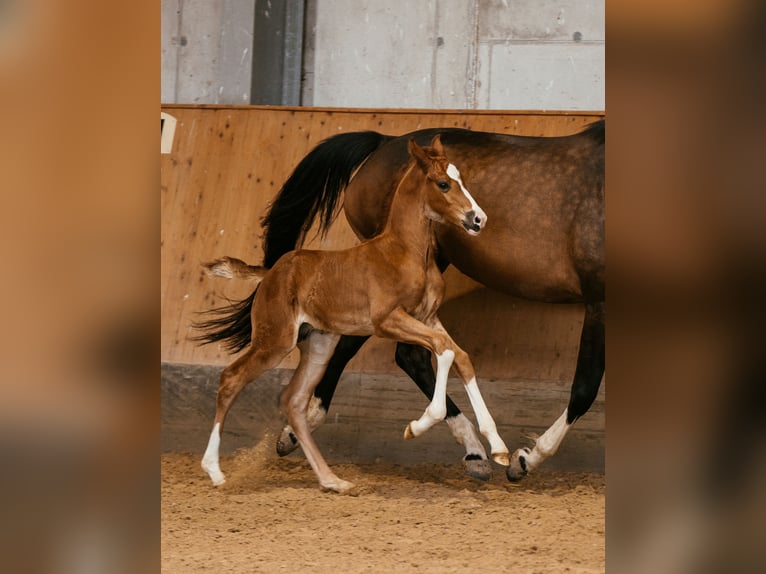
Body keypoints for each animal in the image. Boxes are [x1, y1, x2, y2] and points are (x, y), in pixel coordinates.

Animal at [198, 136, 510, 496]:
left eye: (462, 179)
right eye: (443, 183)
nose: (478, 219)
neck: (405, 252)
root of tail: (270, 272)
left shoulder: (428, 317)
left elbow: (460, 356)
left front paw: (499, 448)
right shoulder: (387, 320)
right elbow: (443, 351)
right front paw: (416, 427)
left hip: (319, 343)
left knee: (294, 400)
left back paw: (332, 480)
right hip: (274, 340)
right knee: (231, 379)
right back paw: (215, 471)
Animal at [260, 121, 608, 486]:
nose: (478, 218)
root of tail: (384, 143)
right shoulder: (599, 300)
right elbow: (585, 387)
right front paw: (525, 459)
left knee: (374, 348)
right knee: (402, 353)